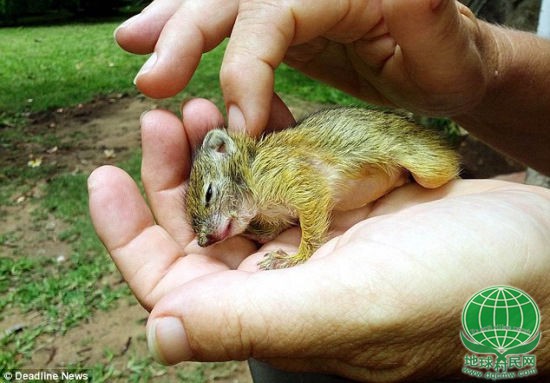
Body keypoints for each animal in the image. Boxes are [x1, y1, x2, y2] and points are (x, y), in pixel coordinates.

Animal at [185, 107, 462, 270]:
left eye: (208, 194)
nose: (203, 242)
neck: (253, 172)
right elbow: (269, 232)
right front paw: (252, 234)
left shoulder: (299, 180)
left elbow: (311, 224)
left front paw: (293, 258)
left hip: (427, 167)